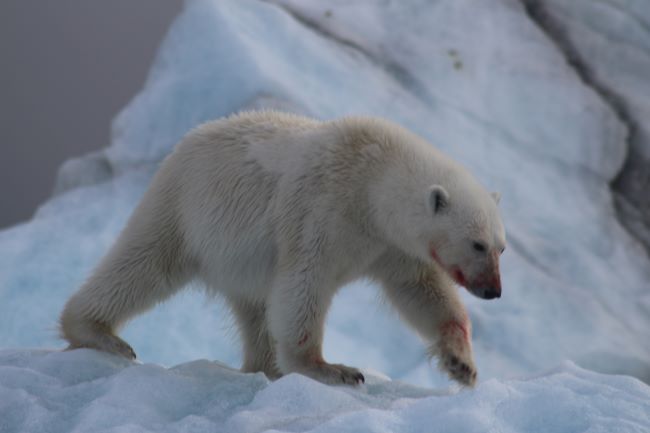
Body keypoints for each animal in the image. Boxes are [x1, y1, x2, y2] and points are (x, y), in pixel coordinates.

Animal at [59, 110, 506, 384]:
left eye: (500, 248)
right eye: (477, 244)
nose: (493, 291)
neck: (372, 175)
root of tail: (187, 140)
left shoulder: (390, 245)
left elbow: (420, 290)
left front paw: (462, 364)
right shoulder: (322, 210)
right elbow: (304, 283)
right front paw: (333, 369)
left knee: (254, 309)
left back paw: (265, 367)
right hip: (183, 209)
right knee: (143, 265)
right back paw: (98, 332)